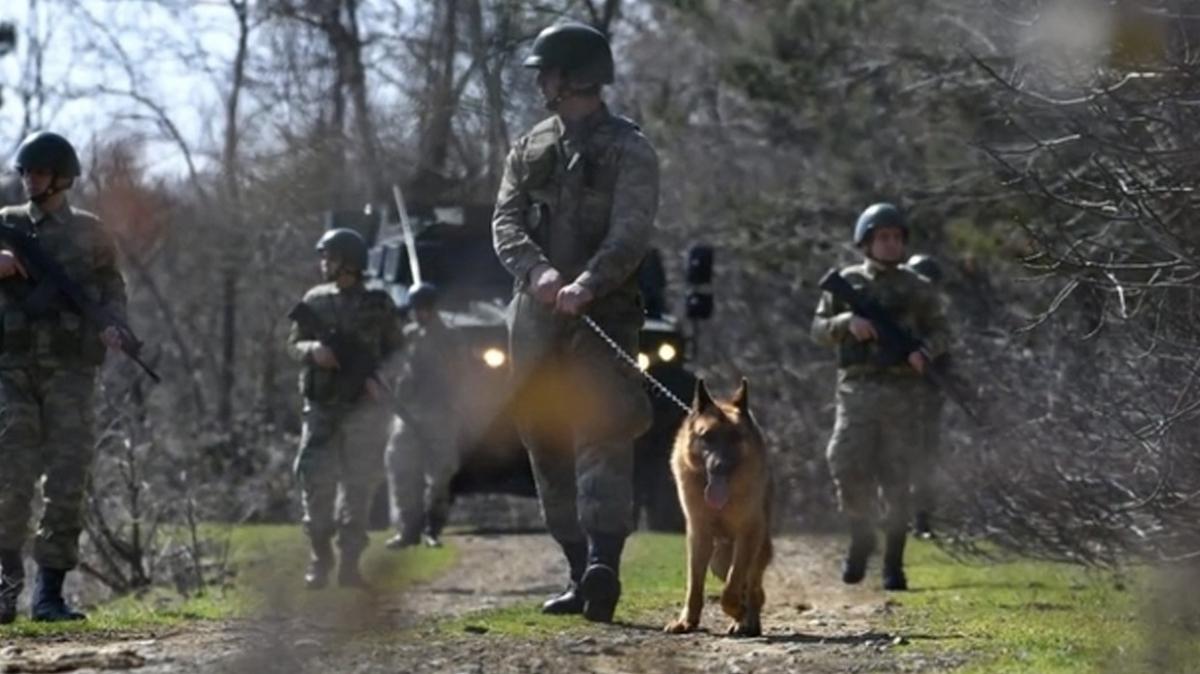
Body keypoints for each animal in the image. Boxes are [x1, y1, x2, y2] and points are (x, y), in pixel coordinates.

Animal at [662, 378, 772, 633]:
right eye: (707, 437)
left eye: (735, 437)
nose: (719, 466)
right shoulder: (698, 535)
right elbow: (694, 584)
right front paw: (687, 621)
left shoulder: (747, 534)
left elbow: (732, 587)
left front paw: (738, 611)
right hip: (719, 560)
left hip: (755, 549)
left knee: (754, 588)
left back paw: (747, 620)